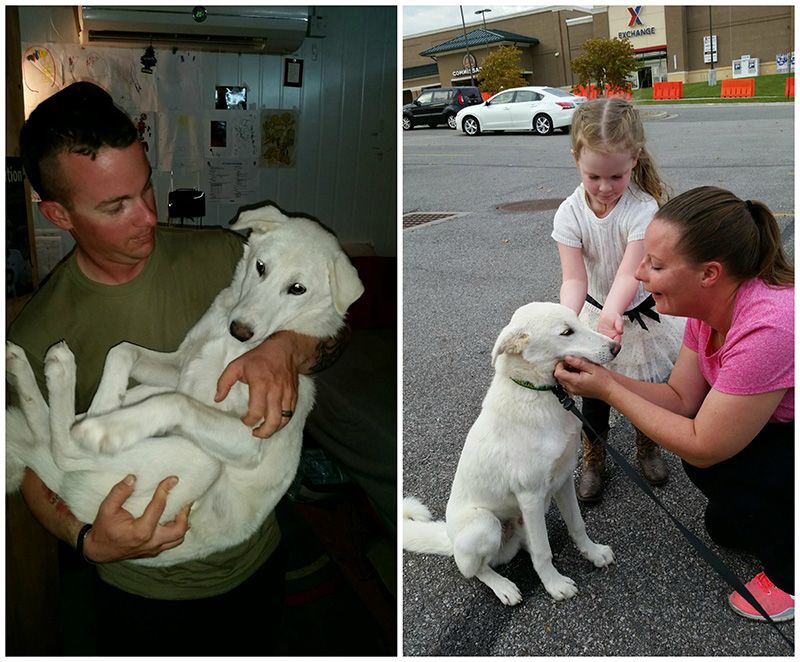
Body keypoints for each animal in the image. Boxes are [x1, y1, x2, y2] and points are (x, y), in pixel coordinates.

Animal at [5, 205, 362, 568]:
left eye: (298, 289)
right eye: (261, 267)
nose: (240, 330)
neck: (231, 344)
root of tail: (74, 496)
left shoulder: (249, 439)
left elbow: (175, 402)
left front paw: (106, 428)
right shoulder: (180, 366)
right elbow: (123, 351)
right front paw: (108, 405)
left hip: (201, 459)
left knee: (63, 448)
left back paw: (68, 384)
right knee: (55, 430)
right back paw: (31, 367)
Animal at [406, 304, 620, 608]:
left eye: (578, 321)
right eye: (567, 332)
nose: (616, 347)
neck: (539, 394)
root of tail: (449, 537)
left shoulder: (564, 479)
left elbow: (577, 524)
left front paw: (592, 552)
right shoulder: (529, 495)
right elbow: (543, 553)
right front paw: (554, 585)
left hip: (529, 513)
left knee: (529, 542)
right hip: (485, 525)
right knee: (476, 569)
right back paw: (503, 586)